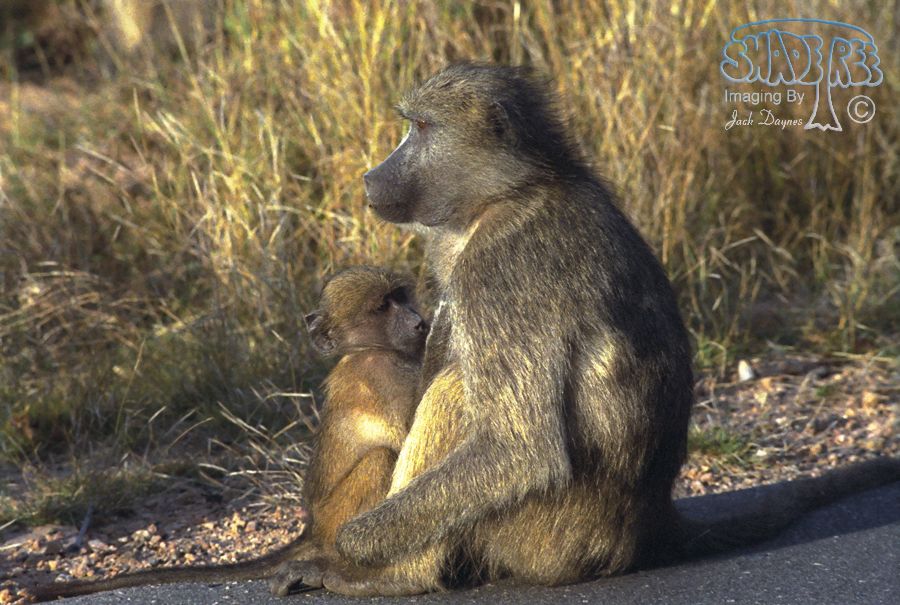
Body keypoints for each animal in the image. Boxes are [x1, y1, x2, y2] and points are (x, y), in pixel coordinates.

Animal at [31, 266, 429, 601]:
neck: (367, 349)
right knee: (380, 459)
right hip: (337, 520)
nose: (418, 322)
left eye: (401, 296)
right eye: (382, 307)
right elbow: (404, 439)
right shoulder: (382, 374)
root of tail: (314, 529)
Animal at [270, 63, 900, 597]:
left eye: (420, 128)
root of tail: (649, 523)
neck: (507, 192)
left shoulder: (502, 267)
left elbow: (519, 450)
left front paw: (355, 545)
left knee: (458, 393)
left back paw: (396, 577)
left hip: (550, 538)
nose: (371, 176)